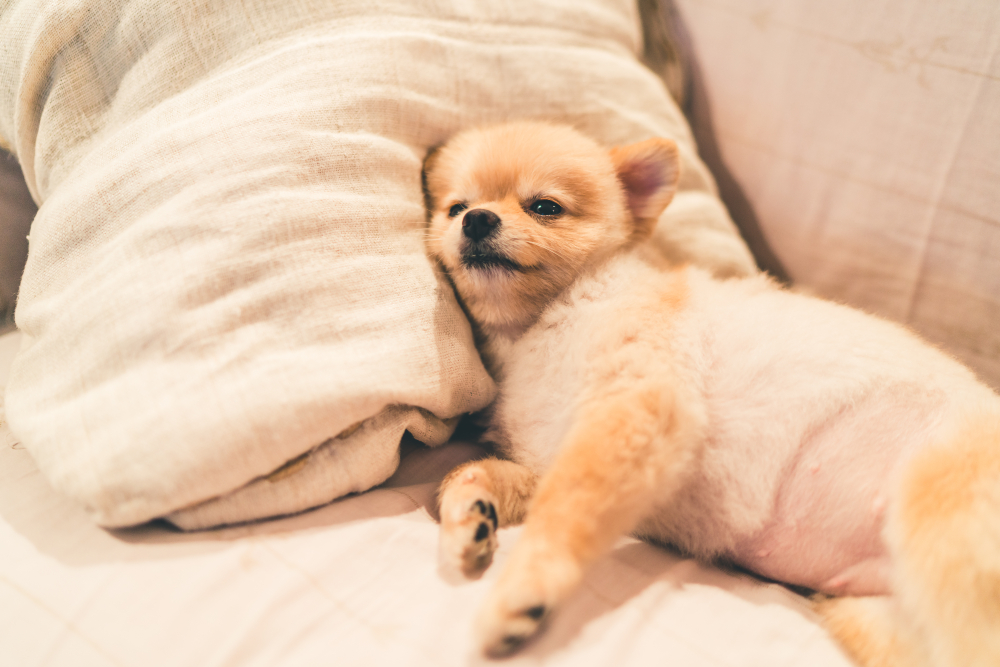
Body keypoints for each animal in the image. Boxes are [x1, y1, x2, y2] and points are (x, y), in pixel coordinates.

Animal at [420, 121, 1000, 667]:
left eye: (544, 207)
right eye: (455, 208)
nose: (478, 220)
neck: (539, 329)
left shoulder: (636, 411)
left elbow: (565, 513)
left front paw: (522, 589)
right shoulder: (554, 455)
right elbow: (469, 474)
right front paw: (470, 517)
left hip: (941, 518)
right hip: (874, 616)